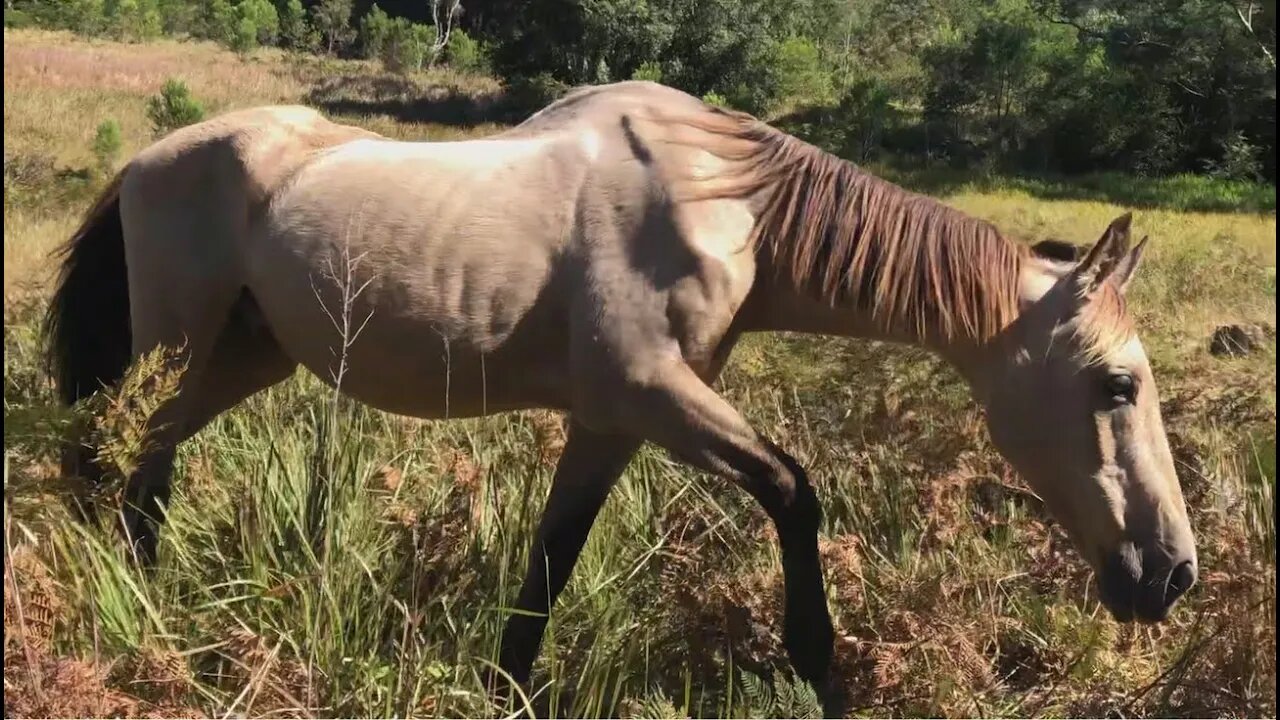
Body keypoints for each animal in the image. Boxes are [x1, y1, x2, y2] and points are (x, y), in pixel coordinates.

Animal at [42, 79, 1198, 712]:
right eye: (1117, 384)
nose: (1170, 574)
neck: (727, 202)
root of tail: (146, 161)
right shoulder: (652, 395)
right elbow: (794, 491)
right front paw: (818, 669)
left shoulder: (612, 421)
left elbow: (550, 563)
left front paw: (505, 691)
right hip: (178, 349)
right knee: (121, 460)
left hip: (239, 359)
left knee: (144, 466)